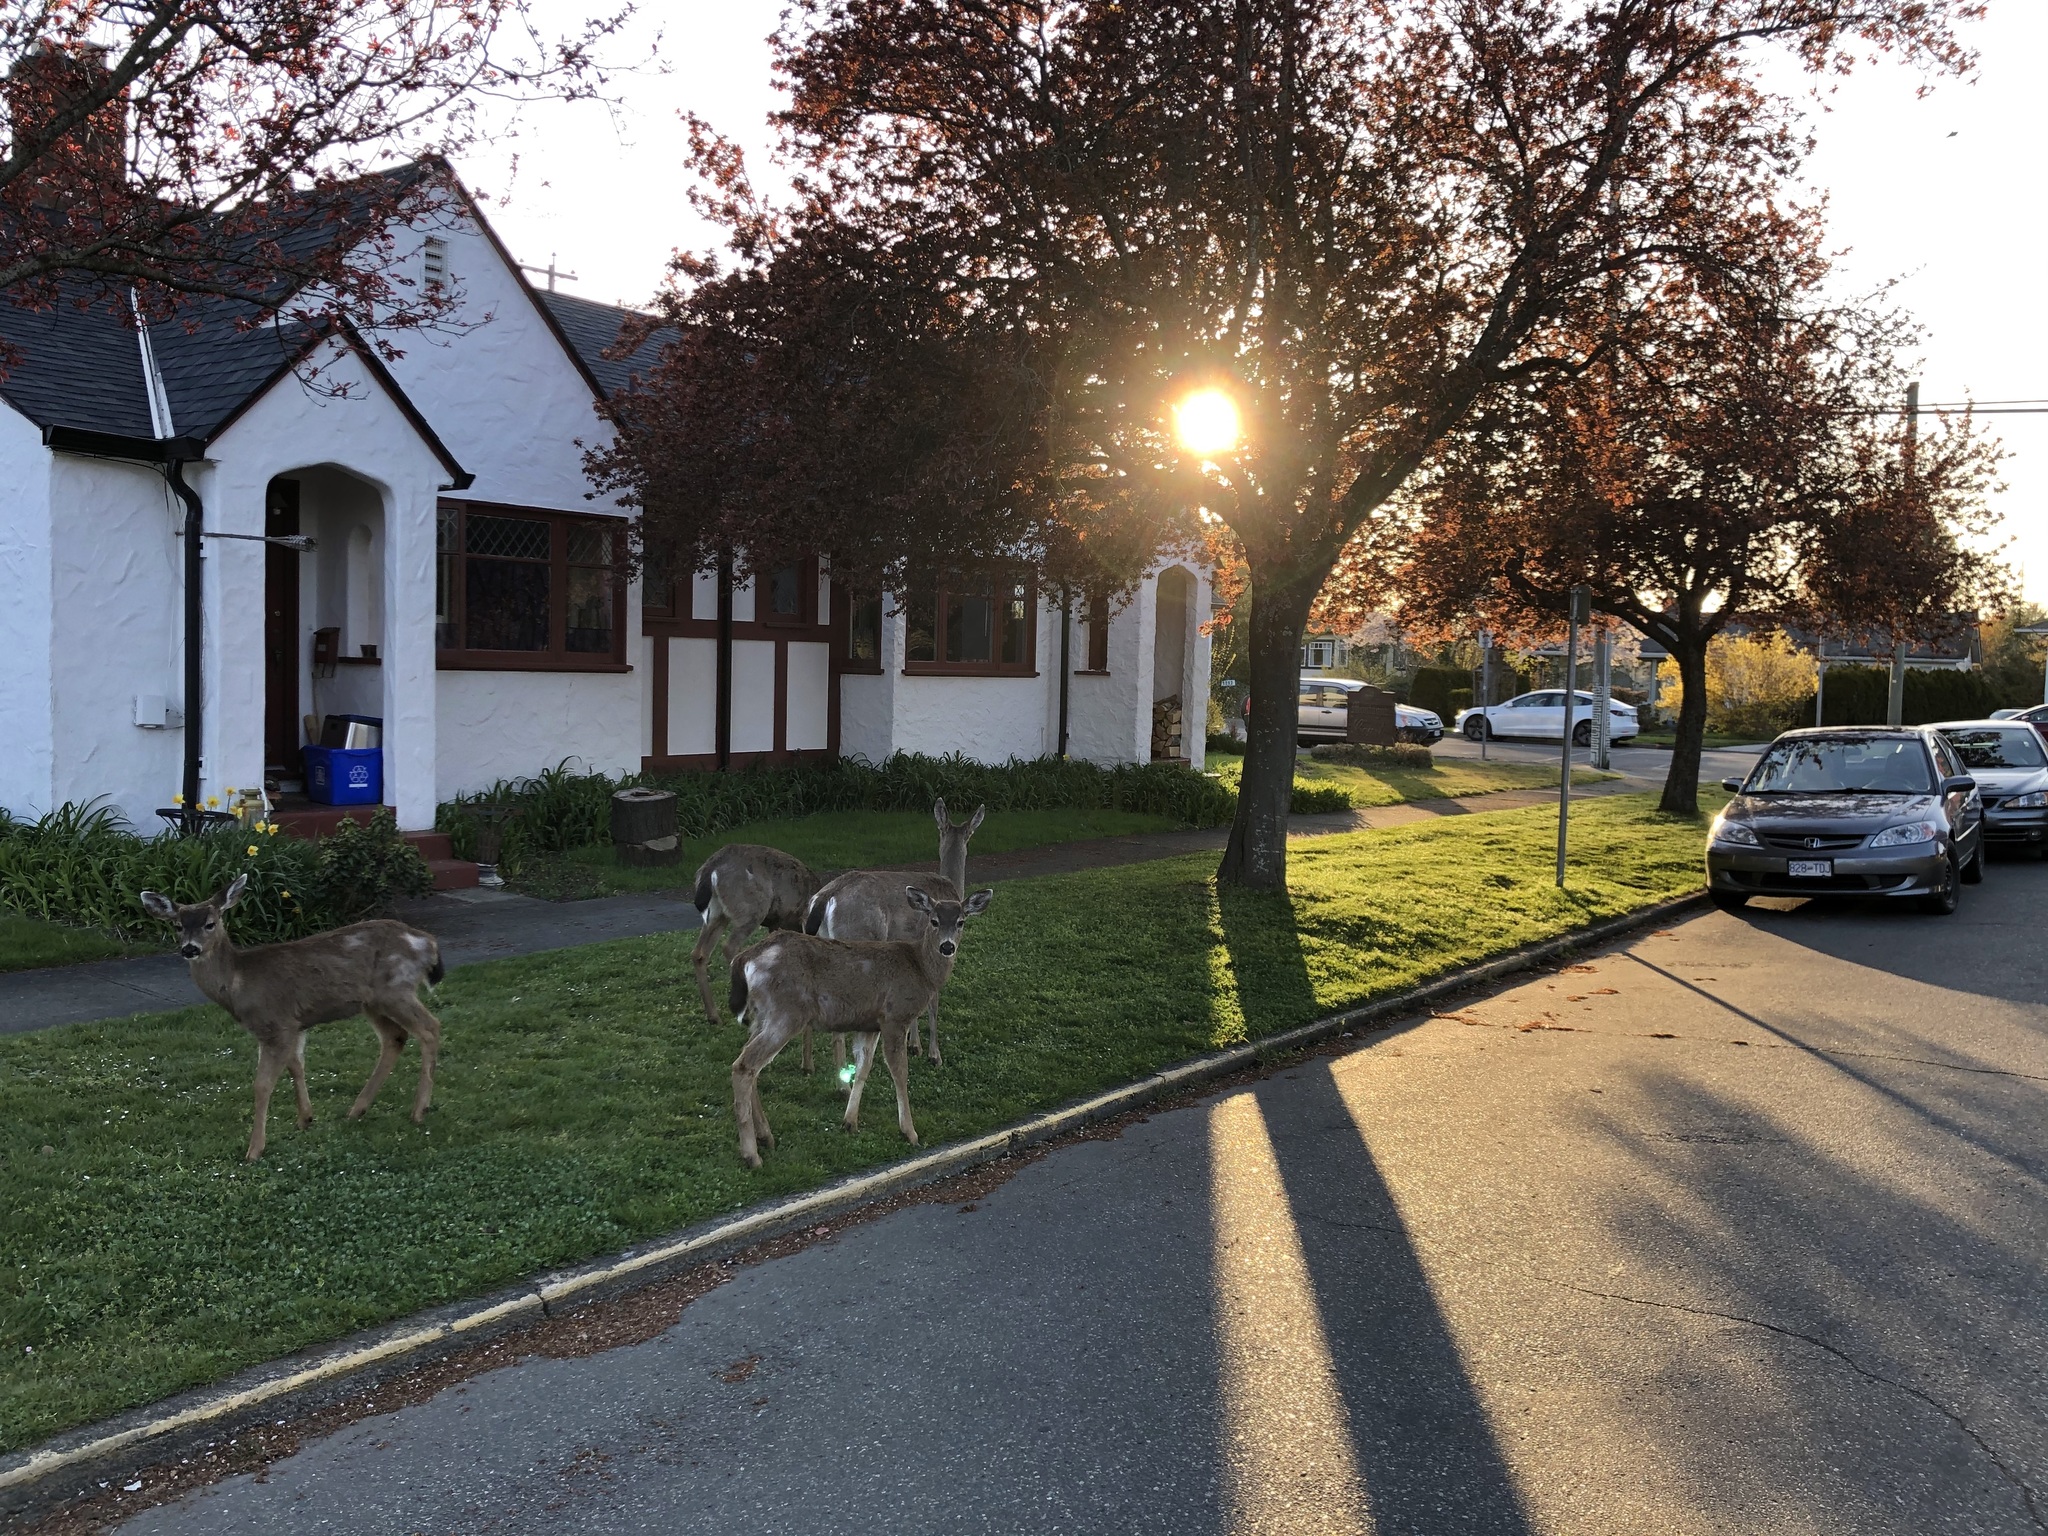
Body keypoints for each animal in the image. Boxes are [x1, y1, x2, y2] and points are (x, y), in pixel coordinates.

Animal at [142, 872, 450, 1163]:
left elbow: (262, 1085)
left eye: (210, 923)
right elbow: (297, 1066)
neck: (239, 983)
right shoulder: (294, 1025)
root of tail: (428, 943)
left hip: (395, 989)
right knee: (395, 1037)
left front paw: (255, 1149)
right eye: (177, 926)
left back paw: (418, 1110)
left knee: (430, 1027)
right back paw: (357, 1109)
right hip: (373, 1002)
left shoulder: (276, 1024)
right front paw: (305, 1119)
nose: (189, 948)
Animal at [688, 843, 815, 1036]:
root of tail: (711, 869)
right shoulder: (783, 920)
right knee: (729, 947)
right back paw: (745, 1015)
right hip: (752, 909)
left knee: (699, 953)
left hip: (717, 914)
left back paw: (714, 1017)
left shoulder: (776, 924)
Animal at [733, 884, 995, 1171]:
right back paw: (751, 1154)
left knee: (750, 1064)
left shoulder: (870, 1024)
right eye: (934, 920)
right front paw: (910, 1132)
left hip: (763, 1016)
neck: (920, 967)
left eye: (961, 921)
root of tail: (745, 958)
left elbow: (862, 1068)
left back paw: (766, 1137)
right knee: (744, 1065)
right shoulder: (894, 1016)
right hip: (786, 1012)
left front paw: (849, 1122)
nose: (947, 947)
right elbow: (900, 1072)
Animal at [802, 798, 987, 1064]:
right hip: (859, 938)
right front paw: (933, 1054)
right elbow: (933, 1001)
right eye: (970, 834)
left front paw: (914, 1045)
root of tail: (826, 896)